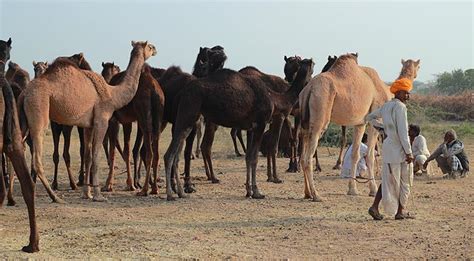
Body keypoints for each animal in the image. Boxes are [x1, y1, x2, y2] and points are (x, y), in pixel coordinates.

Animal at [20, 41, 157, 201]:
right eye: (149, 47)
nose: (155, 49)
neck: (112, 94)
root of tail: (24, 93)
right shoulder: (101, 121)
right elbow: (96, 156)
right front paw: (98, 194)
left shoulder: (88, 126)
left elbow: (87, 156)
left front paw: (87, 192)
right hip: (38, 110)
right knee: (36, 157)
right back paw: (55, 197)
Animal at [163, 57, 314, 199]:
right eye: (313, 67)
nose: (310, 80)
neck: (274, 98)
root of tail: (181, 92)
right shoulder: (261, 123)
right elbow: (255, 157)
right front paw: (258, 191)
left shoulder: (252, 127)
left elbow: (248, 157)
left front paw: (248, 191)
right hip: (188, 114)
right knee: (171, 153)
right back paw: (172, 194)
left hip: (188, 119)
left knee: (177, 154)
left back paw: (181, 192)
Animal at [298, 52, 420, 199]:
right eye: (419, 66)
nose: (415, 75)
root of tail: (308, 89)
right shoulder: (374, 119)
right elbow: (370, 155)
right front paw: (373, 189)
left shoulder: (360, 123)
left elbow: (355, 154)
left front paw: (352, 189)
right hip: (320, 113)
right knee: (308, 157)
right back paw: (316, 195)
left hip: (305, 121)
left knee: (303, 151)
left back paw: (307, 193)